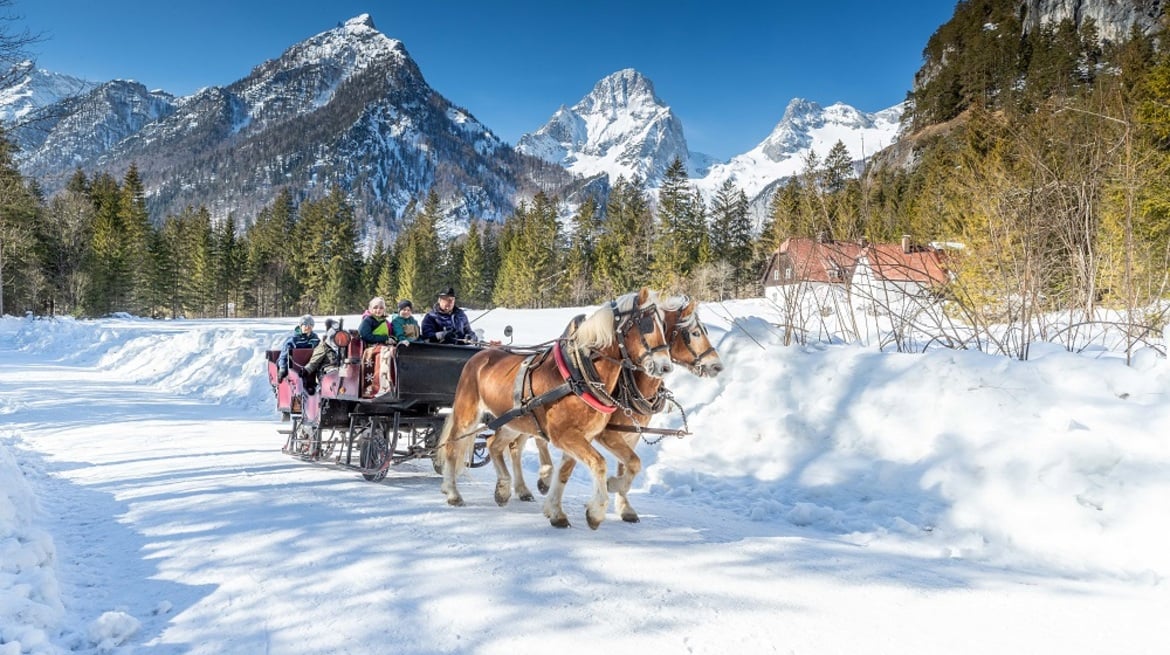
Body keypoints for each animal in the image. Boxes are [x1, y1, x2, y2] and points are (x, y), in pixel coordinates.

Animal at [437, 288, 678, 528]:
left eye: (664, 324)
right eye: (646, 324)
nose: (665, 367)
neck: (580, 374)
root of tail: (479, 355)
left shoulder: (584, 436)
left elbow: (568, 472)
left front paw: (556, 511)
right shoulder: (565, 435)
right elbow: (599, 464)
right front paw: (596, 510)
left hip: (513, 421)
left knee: (493, 444)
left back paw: (503, 489)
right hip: (468, 415)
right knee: (452, 446)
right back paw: (453, 493)